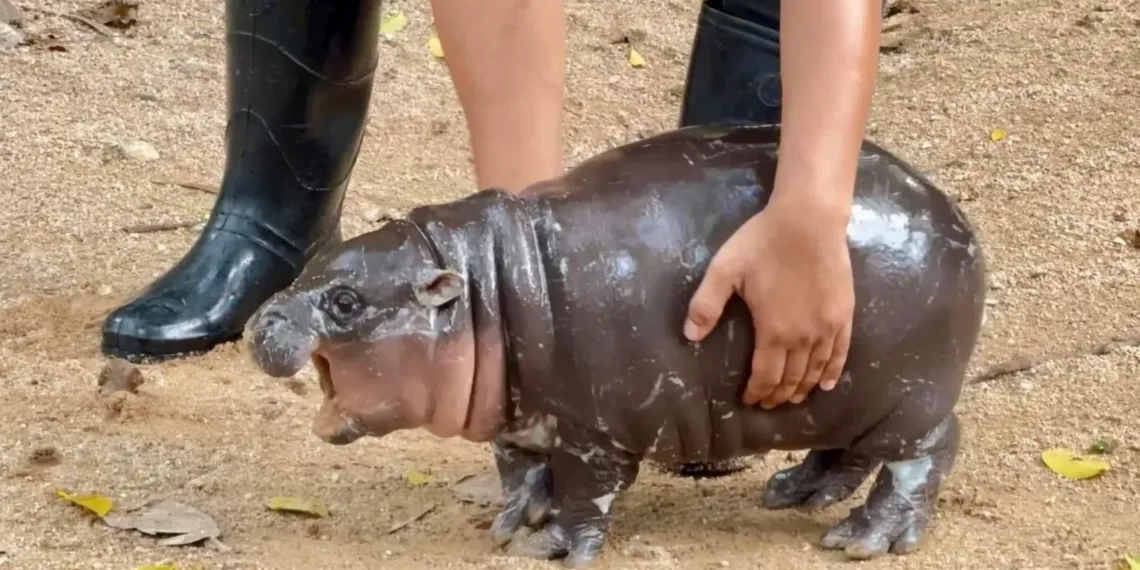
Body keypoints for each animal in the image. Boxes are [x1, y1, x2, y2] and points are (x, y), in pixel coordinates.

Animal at [246, 123, 987, 567]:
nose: (259, 322)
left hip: (908, 398)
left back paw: (862, 539)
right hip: (841, 393)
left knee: (925, 455)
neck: (484, 289)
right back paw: (793, 493)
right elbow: (519, 468)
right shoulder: (521, 419)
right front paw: (513, 521)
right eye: (313, 263)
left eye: (346, 302)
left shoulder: (594, 433)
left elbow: (584, 494)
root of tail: (955, 215)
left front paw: (553, 546)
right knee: (847, 452)